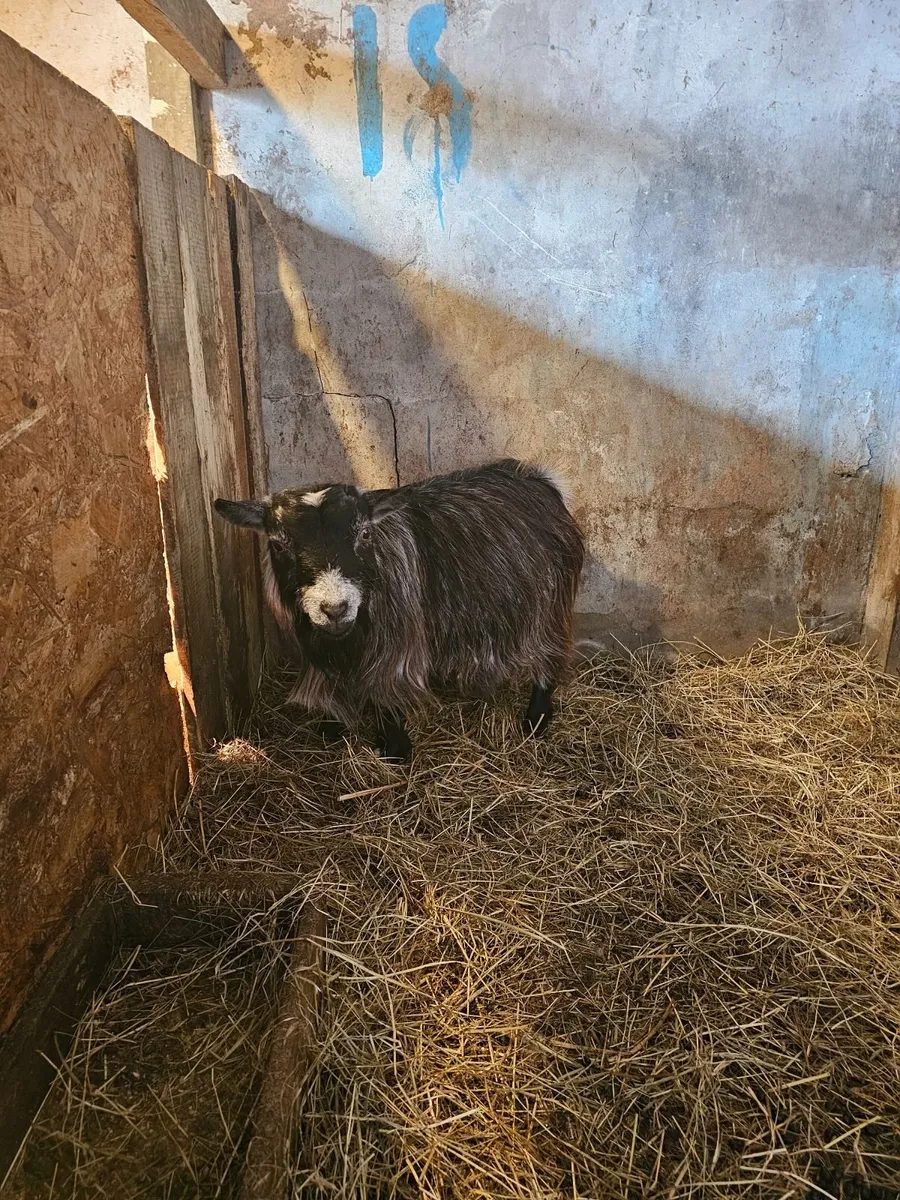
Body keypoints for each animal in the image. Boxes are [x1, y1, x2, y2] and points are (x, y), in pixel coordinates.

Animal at [215, 459, 585, 761]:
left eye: (365, 533)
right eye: (278, 544)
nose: (335, 608)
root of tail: (542, 480)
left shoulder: (395, 648)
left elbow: (386, 696)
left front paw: (394, 750)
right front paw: (334, 727)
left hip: (548, 606)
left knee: (550, 657)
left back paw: (536, 719)